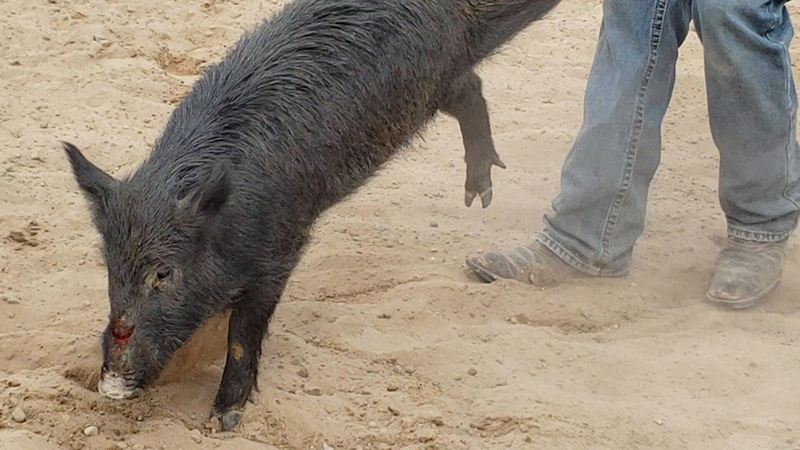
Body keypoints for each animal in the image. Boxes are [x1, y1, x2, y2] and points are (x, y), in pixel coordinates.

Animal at [61, 0, 564, 432]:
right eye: (109, 268)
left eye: (163, 273)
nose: (110, 386)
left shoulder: (281, 247)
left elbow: (244, 332)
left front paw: (222, 420)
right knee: (473, 86)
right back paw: (478, 194)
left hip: (431, 83)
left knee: (469, 91)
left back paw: (480, 195)